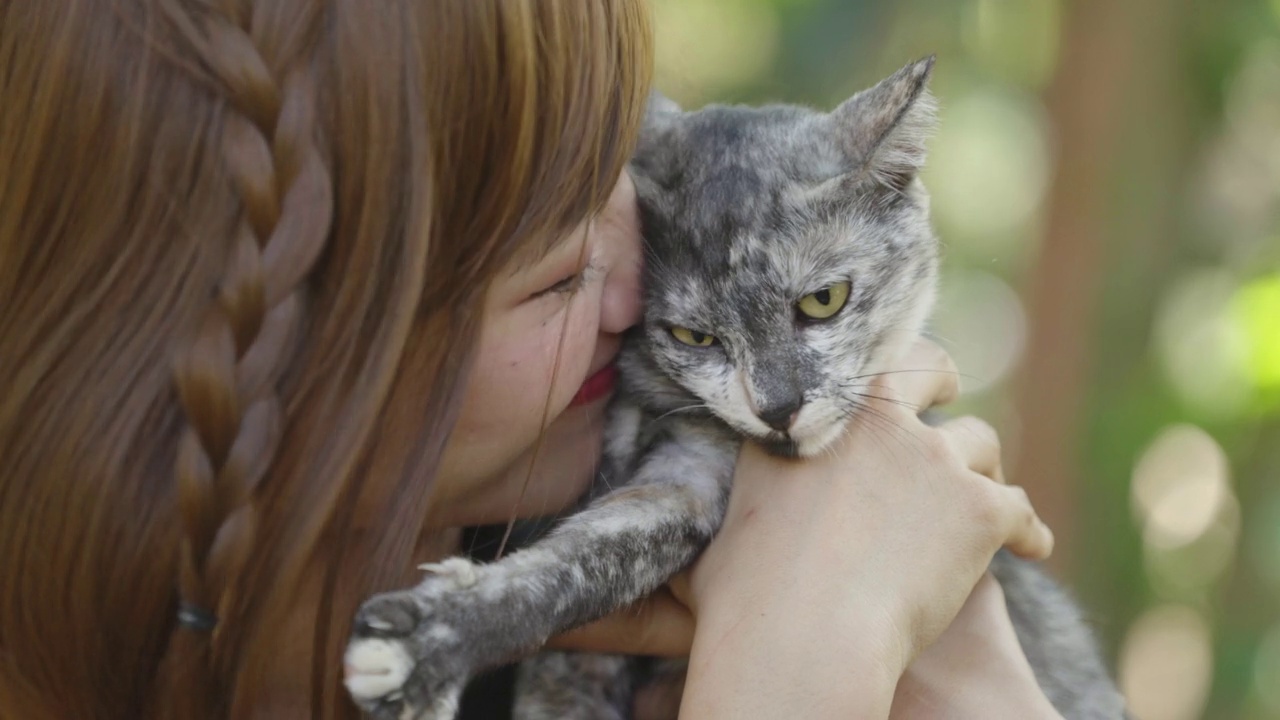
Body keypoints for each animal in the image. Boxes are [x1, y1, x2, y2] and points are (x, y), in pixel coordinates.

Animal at [343, 58, 1131, 717]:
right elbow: (578, 565)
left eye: (823, 301)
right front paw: (431, 646)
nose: (778, 409)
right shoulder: (678, 482)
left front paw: (426, 649)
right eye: (695, 338)